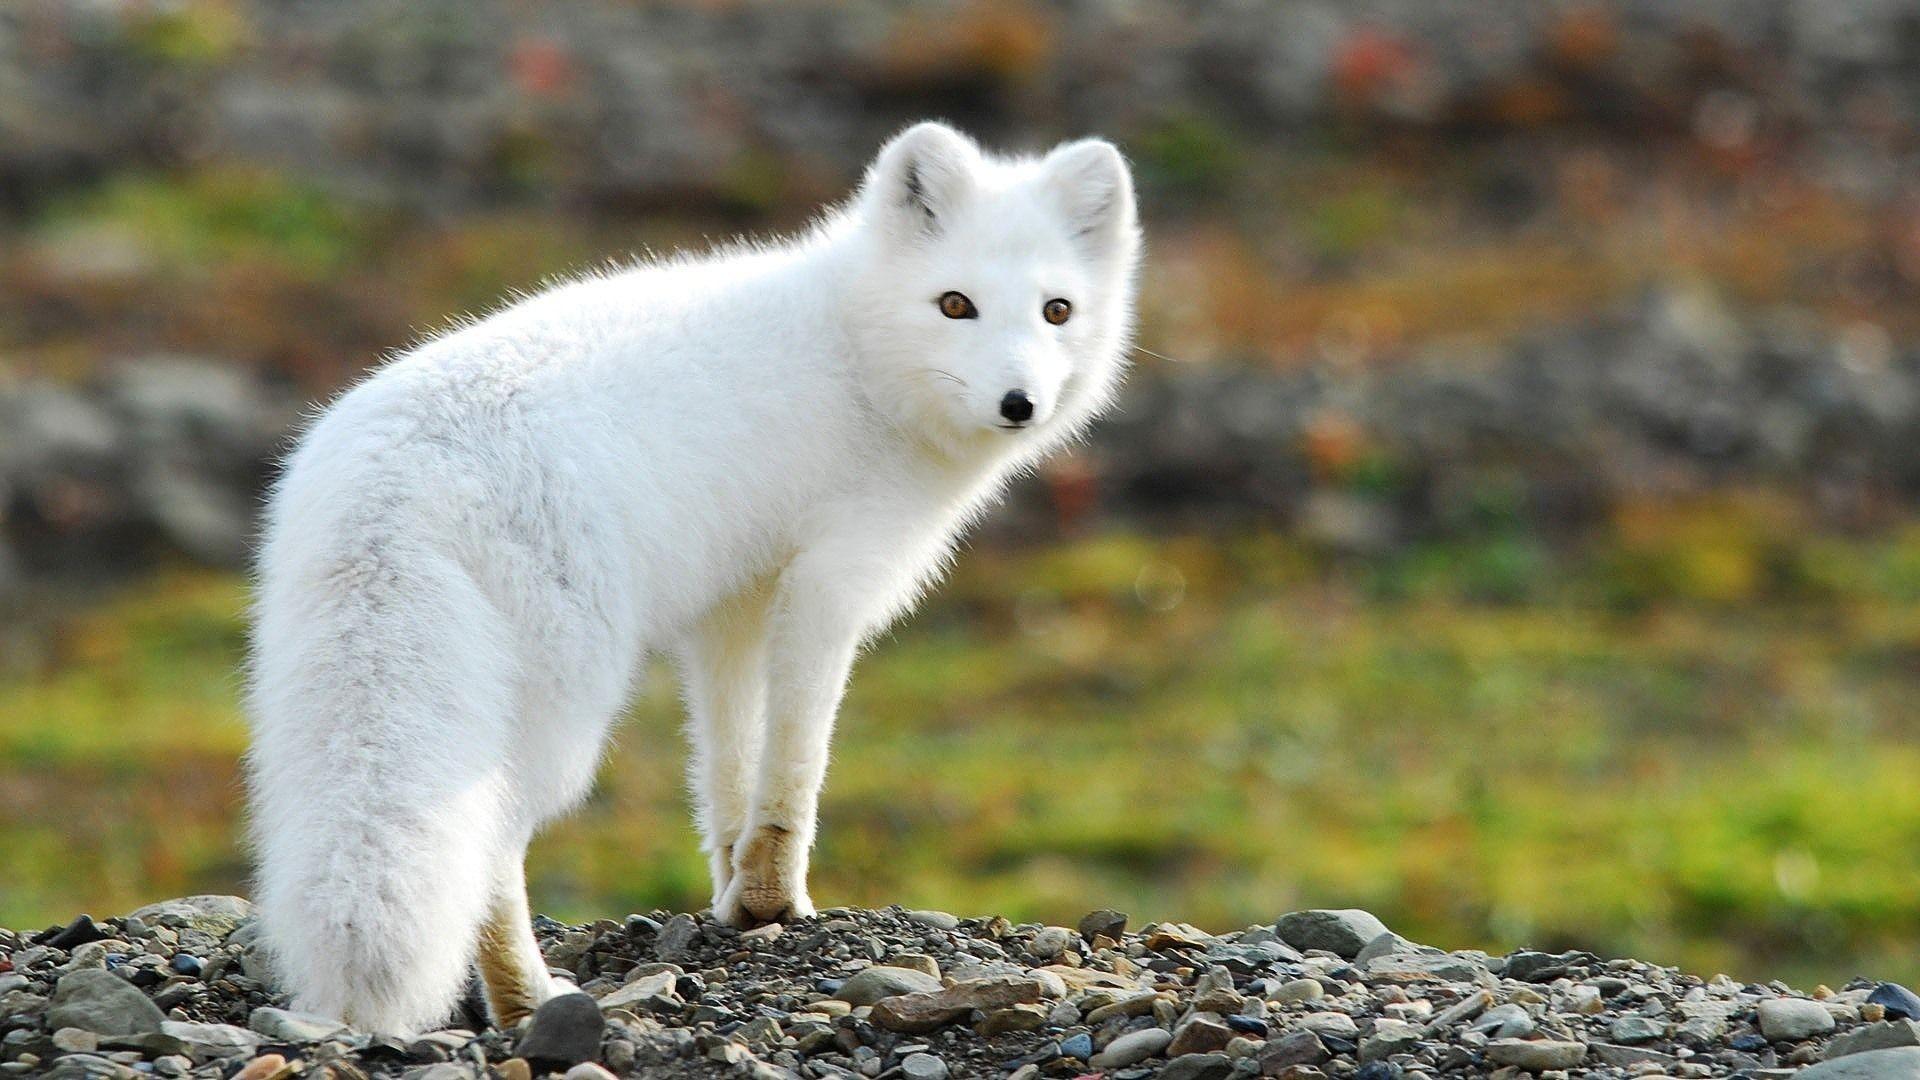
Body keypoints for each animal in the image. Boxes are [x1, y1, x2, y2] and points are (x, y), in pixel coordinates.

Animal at [245, 121, 1141, 1034]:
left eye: (1057, 310)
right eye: (955, 304)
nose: (1019, 403)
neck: (857, 352)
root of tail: (394, 478)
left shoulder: (732, 605)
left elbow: (726, 765)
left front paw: (737, 898)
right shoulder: (830, 581)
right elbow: (796, 761)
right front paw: (778, 898)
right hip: (559, 708)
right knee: (491, 844)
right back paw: (528, 997)